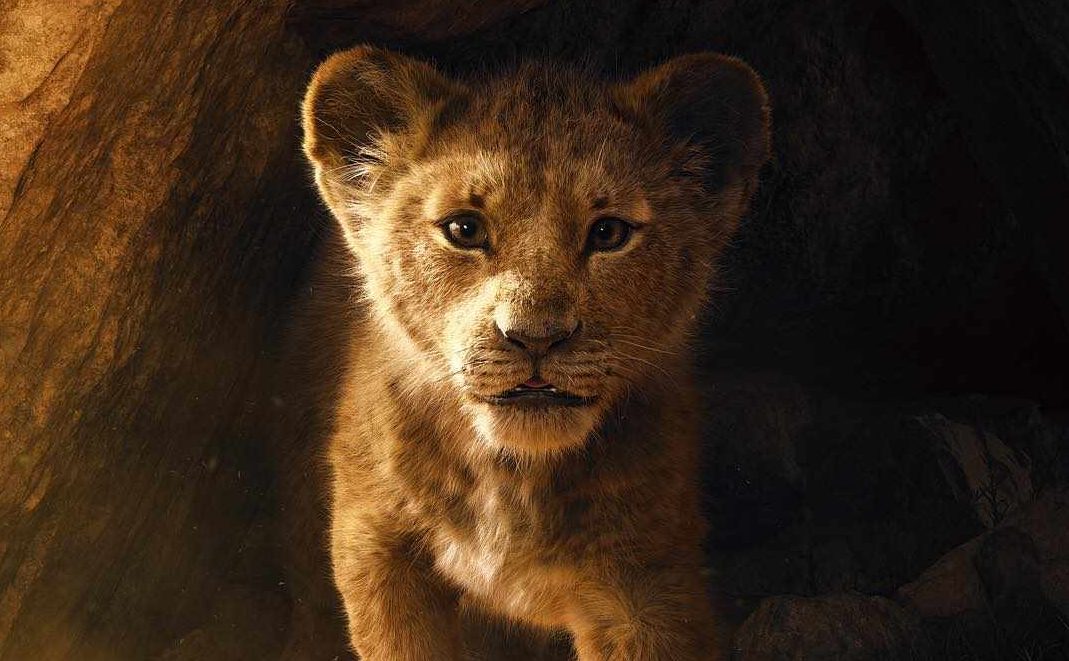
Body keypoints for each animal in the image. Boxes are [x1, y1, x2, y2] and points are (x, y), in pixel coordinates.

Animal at [300, 45, 770, 660]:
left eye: (609, 233)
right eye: (464, 229)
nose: (535, 336)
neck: (511, 480)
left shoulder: (648, 582)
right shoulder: (375, 544)